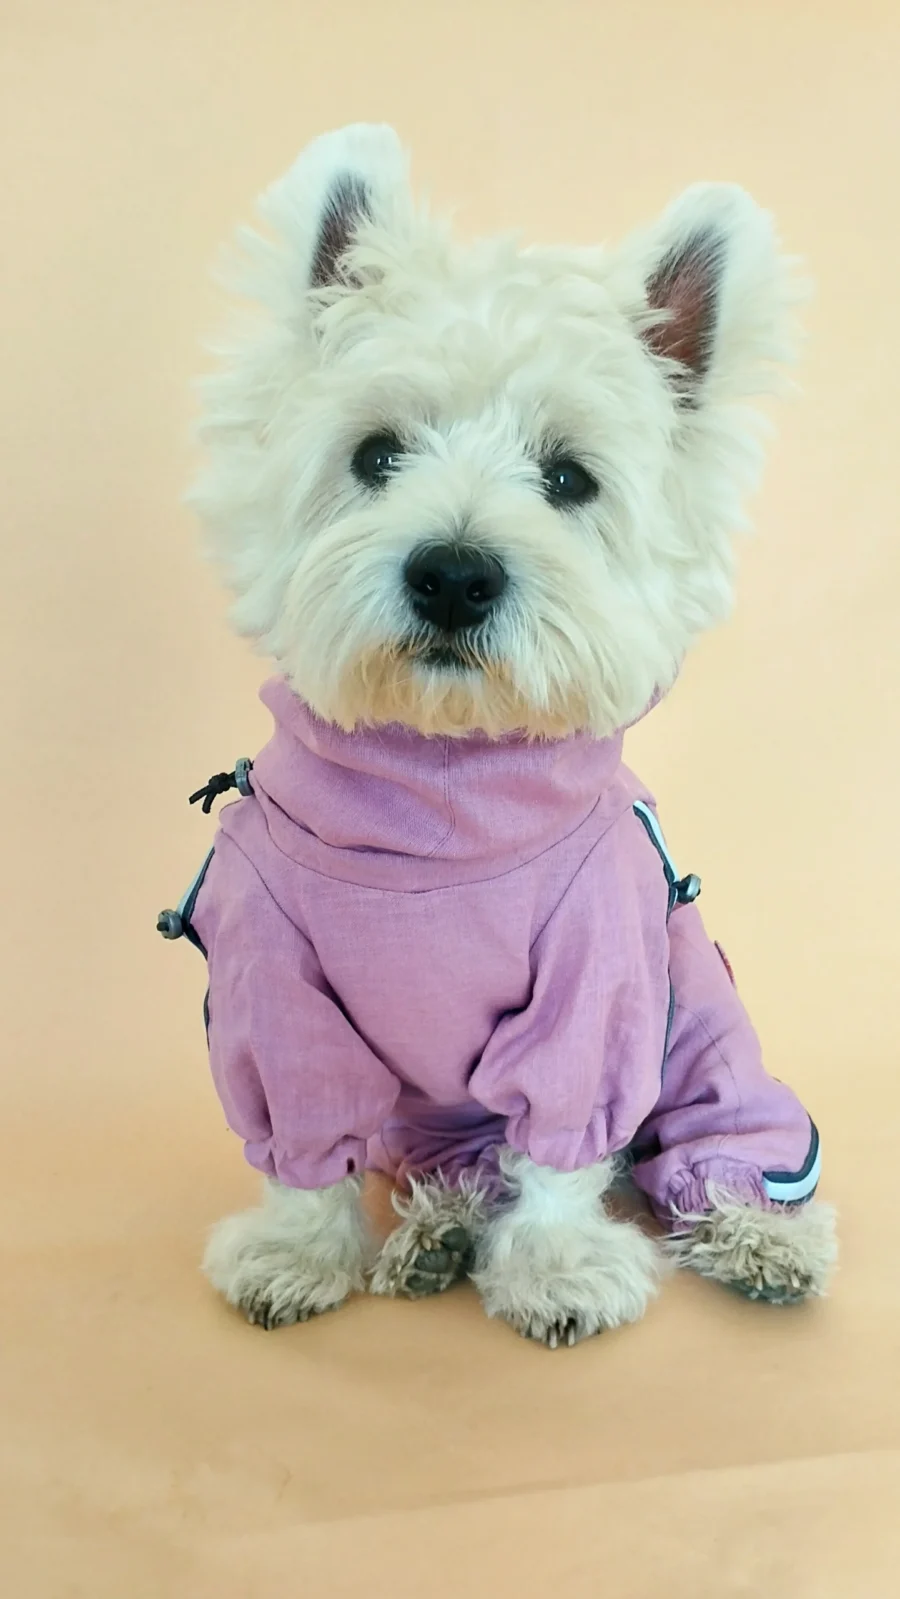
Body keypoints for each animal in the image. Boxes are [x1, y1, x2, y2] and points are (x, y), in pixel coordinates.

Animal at [159, 124, 831, 1343]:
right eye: (376, 454)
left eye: (569, 477)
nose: (455, 573)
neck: (437, 799)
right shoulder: (270, 985)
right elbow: (302, 1139)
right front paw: (294, 1252)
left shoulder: (597, 981)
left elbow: (562, 1142)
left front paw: (560, 1269)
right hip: (428, 1121)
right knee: (464, 1166)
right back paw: (438, 1232)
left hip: (709, 1044)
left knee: (712, 1145)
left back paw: (762, 1239)